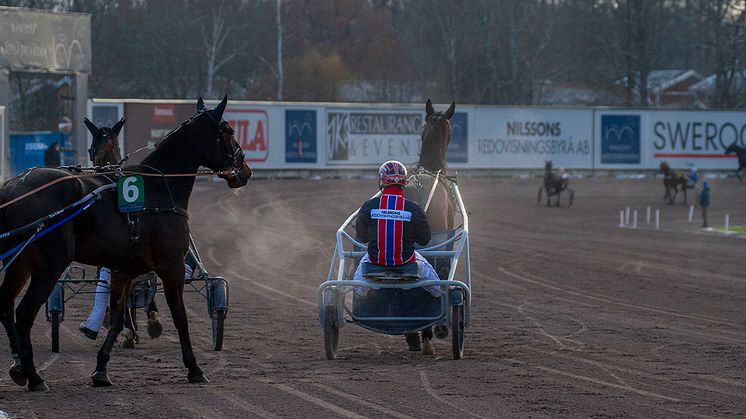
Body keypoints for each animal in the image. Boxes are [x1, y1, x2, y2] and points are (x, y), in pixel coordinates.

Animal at [0, 95, 251, 390]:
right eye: (229, 131)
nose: (245, 170)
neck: (160, 186)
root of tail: (13, 186)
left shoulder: (124, 269)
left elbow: (118, 318)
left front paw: (101, 369)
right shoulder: (171, 266)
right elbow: (180, 316)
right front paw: (194, 368)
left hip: (20, 263)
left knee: (6, 305)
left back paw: (18, 366)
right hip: (49, 266)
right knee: (24, 314)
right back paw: (33, 375)